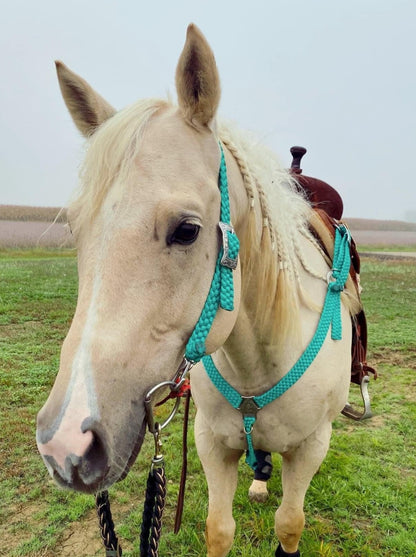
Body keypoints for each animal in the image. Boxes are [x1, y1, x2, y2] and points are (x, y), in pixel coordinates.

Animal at [36, 26, 360, 556]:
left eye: (187, 230)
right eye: (74, 232)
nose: (66, 444)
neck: (259, 362)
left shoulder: (312, 447)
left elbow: (290, 524)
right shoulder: (212, 444)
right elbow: (218, 529)